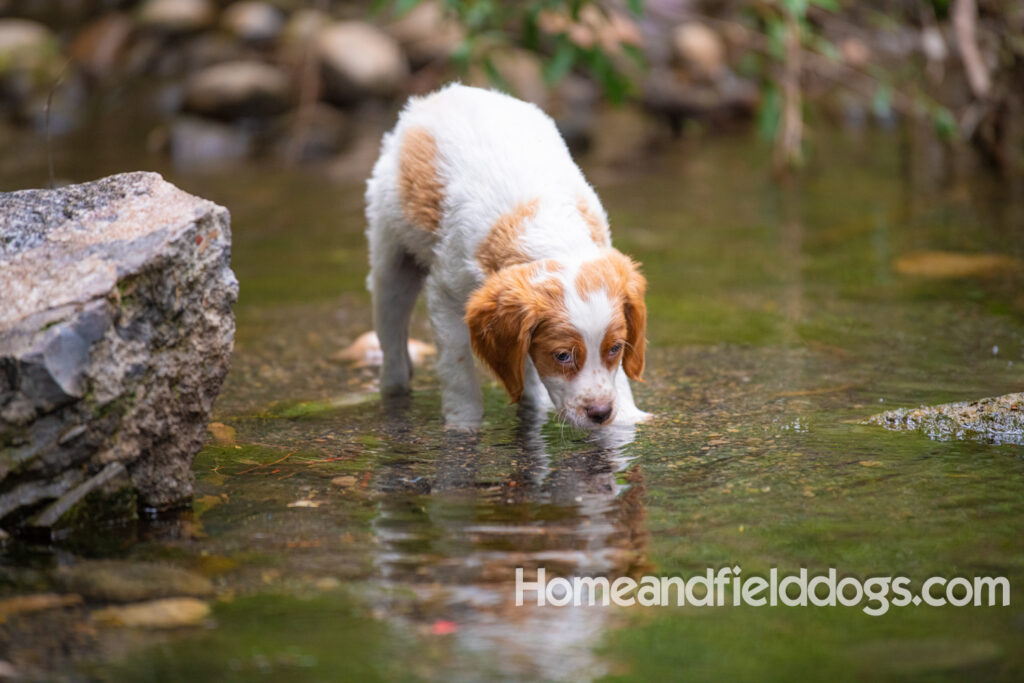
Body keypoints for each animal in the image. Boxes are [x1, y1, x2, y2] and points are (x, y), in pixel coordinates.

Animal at [366, 82, 647, 430]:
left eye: (616, 348)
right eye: (562, 355)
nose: (600, 413)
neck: (545, 223)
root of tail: (440, 95)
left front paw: (627, 418)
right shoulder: (446, 294)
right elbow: (458, 368)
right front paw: (463, 425)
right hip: (390, 261)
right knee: (392, 349)